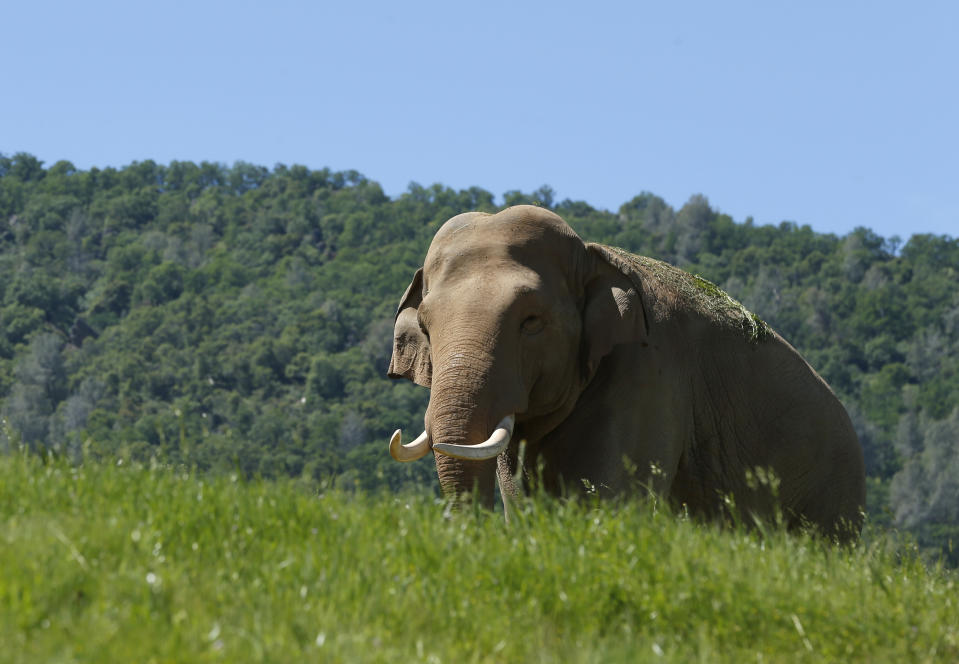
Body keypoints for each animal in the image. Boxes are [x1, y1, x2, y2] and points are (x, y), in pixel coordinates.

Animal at [386, 205, 868, 544]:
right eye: (425, 326)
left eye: (532, 322)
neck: (594, 255)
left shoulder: (648, 378)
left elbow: (607, 494)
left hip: (832, 497)